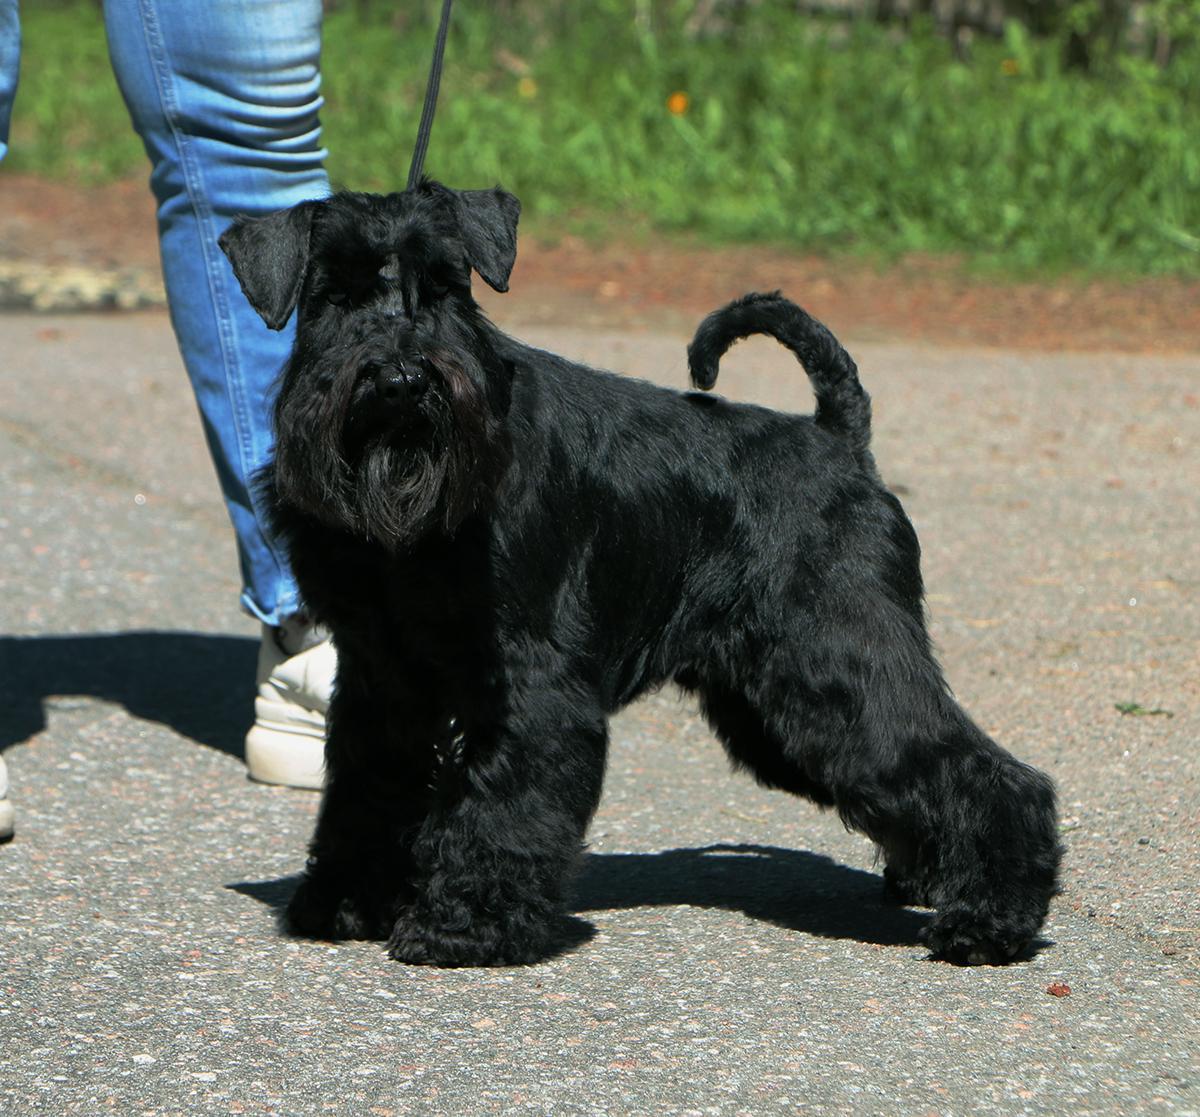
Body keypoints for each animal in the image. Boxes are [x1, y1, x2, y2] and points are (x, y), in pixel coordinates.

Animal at [219, 179, 1061, 968]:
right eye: (334, 295)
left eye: (448, 286)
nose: (401, 380)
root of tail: (840, 440)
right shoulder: (381, 676)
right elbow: (368, 789)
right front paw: (345, 901)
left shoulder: (532, 679)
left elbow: (503, 801)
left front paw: (469, 922)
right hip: (772, 709)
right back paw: (934, 881)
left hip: (837, 667)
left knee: (986, 773)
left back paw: (990, 920)